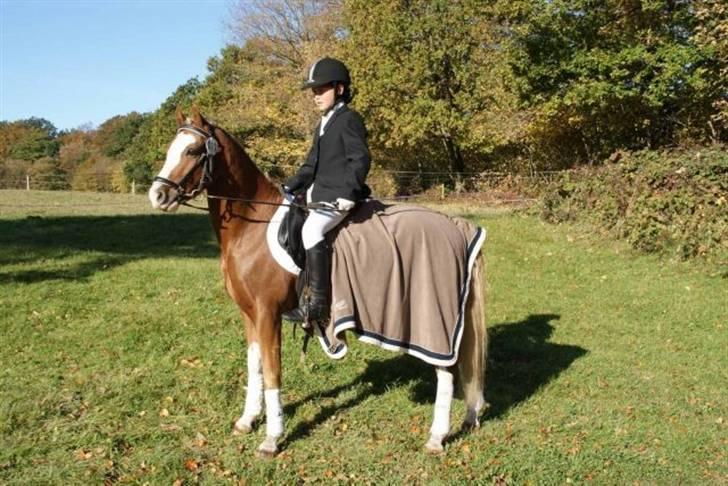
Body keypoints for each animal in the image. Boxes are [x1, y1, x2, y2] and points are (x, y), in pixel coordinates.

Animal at [148, 107, 487, 457]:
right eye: (171, 149)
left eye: (192, 150)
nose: (157, 195)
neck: (252, 226)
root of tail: (458, 226)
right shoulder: (248, 314)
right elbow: (254, 365)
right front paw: (247, 420)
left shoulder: (268, 314)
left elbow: (272, 371)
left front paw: (272, 438)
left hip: (434, 319)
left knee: (446, 371)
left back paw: (436, 437)